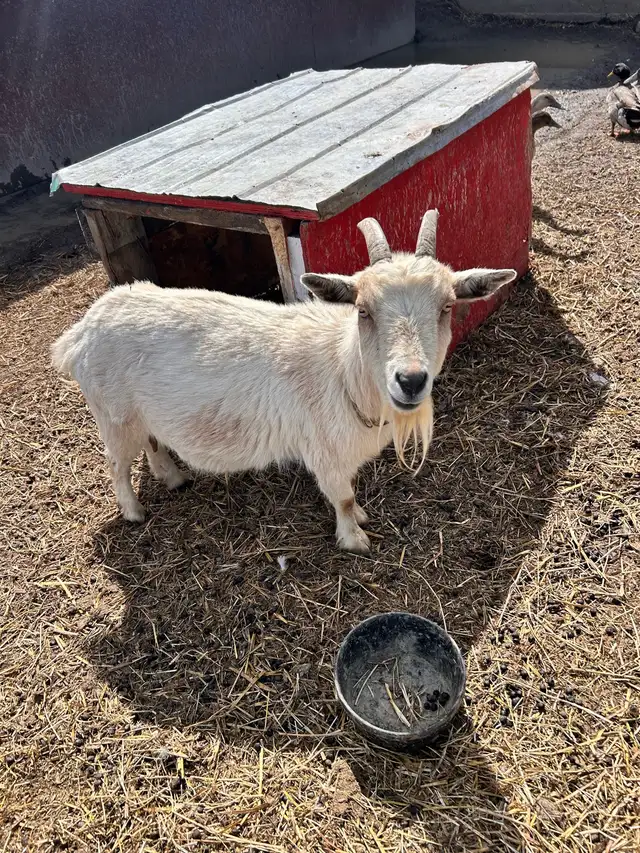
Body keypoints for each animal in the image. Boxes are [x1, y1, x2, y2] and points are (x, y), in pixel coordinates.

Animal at [51, 210, 516, 553]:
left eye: (448, 306)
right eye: (363, 309)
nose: (411, 379)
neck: (343, 370)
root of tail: (82, 331)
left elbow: (351, 494)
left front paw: (360, 520)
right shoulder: (324, 453)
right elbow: (343, 497)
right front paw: (354, 539)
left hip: (141, 413)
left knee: (152, 443)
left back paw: (173, 478)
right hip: (113, 416)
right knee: (116, 463)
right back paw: (133, 512)